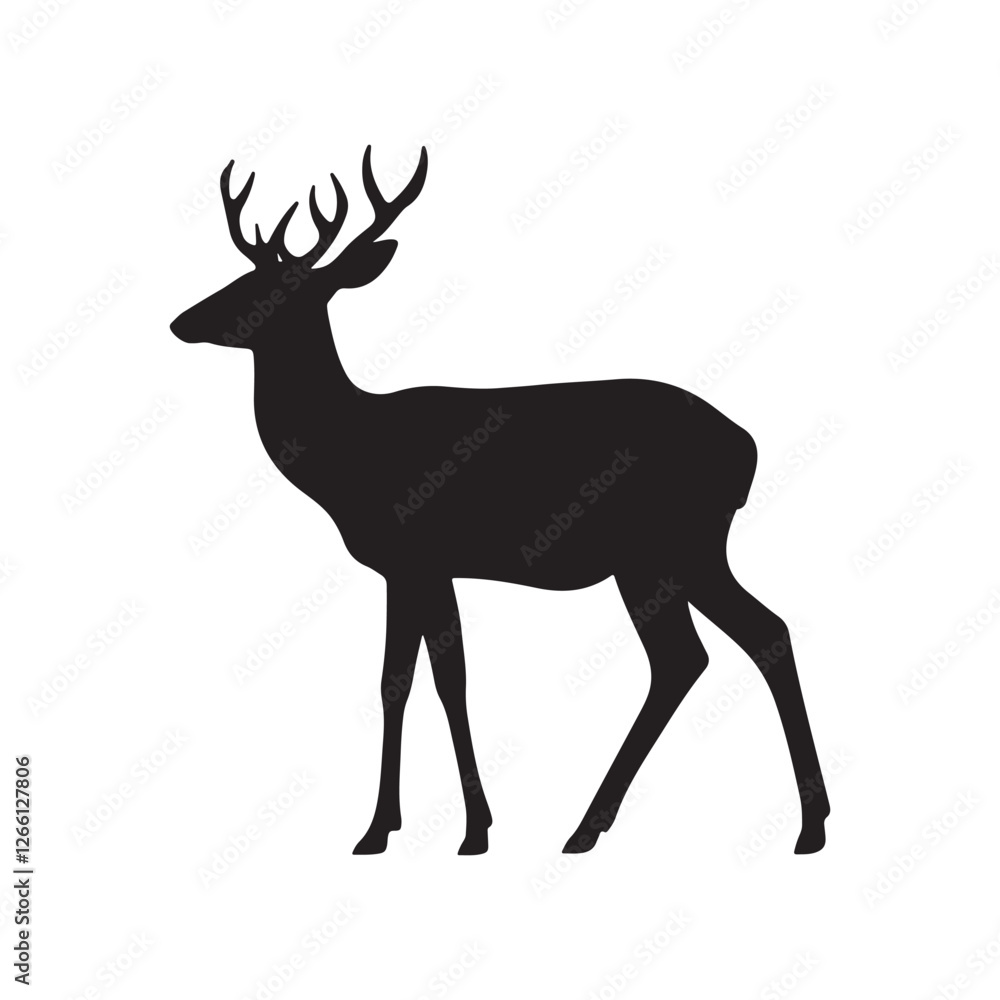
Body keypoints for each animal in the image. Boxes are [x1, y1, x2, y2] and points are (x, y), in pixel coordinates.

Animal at [170, 145, 830, 857]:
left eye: (278, 289)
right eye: (242, 274)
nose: (182, 321)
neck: (349, 458)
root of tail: (747, 449)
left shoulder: (418, 557)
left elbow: (434, 680)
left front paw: (453, 829)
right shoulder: (414, 568)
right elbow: (407, 680)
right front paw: (398, 827)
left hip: (662, 547)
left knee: (693, 653)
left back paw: (597, 825)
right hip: (680, 554)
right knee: (748, 637)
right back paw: (802, 822)